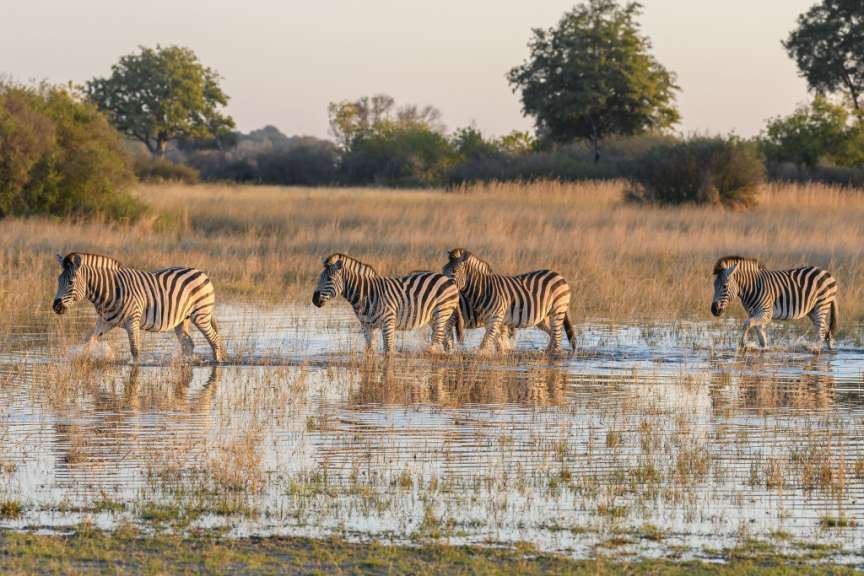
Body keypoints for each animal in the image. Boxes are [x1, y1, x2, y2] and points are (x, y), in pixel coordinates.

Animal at [52, 252, 225, 362]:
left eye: (70, 282)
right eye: (58, 280)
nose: (55, 307)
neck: (109, 291)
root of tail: (201, 272)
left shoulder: (132, 321)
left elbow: (135, 351)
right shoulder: (106, 321)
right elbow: (88, 340)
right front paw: (84, 358)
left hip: (200, 314)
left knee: (215, 341)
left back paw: (218, 364)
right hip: (183, 319)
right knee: (188, 344)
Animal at [311, 253, 463, 353]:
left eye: (329, 279)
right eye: (319, 278)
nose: (314, 300)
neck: (366, 293)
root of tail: (448, 279)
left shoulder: (388, 322)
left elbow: (388, 351)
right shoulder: (366, 325)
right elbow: (370, 350)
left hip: (441, 312)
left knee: (436, 341)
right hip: (436, 317)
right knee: (447, 341)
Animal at [442, 249, 575, 353]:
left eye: (454, 271)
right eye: (443, 269)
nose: (443, 285)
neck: (483, 289)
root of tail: (558, 275)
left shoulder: (495, 317)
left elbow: (484, 344)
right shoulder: (491, 320)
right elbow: (496, 342)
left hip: (558, 310)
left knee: (557, 336)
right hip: (543, 317)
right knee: (553, 334)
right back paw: (548, 352)